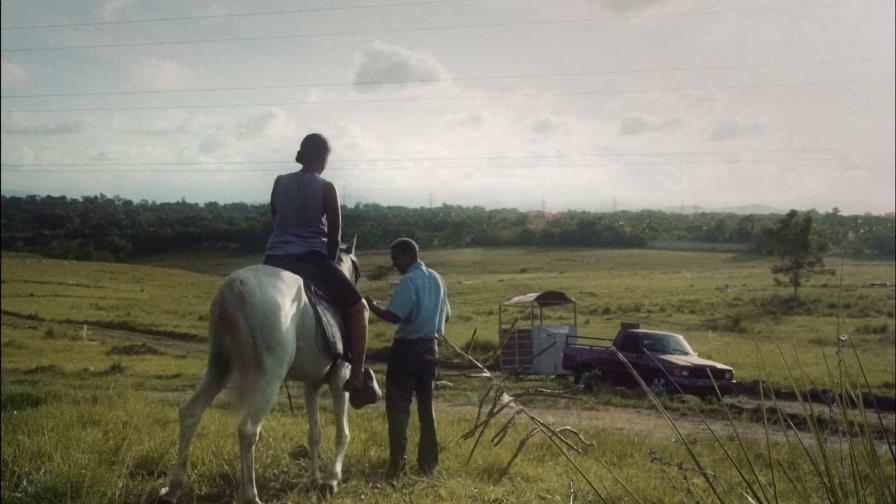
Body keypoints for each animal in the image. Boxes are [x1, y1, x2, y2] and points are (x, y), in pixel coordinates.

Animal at [159, 242, 362, 502]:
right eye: (358, 271)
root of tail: (235, 285)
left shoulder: (312, 384)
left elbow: (314, 433)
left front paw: (313, 480)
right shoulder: (340, 376)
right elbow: (342, 432)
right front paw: (332, 479)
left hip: (219, 367)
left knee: (190, 413)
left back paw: (174, 488)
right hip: (270, 379)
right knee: (247, 429)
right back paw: (250, 495)